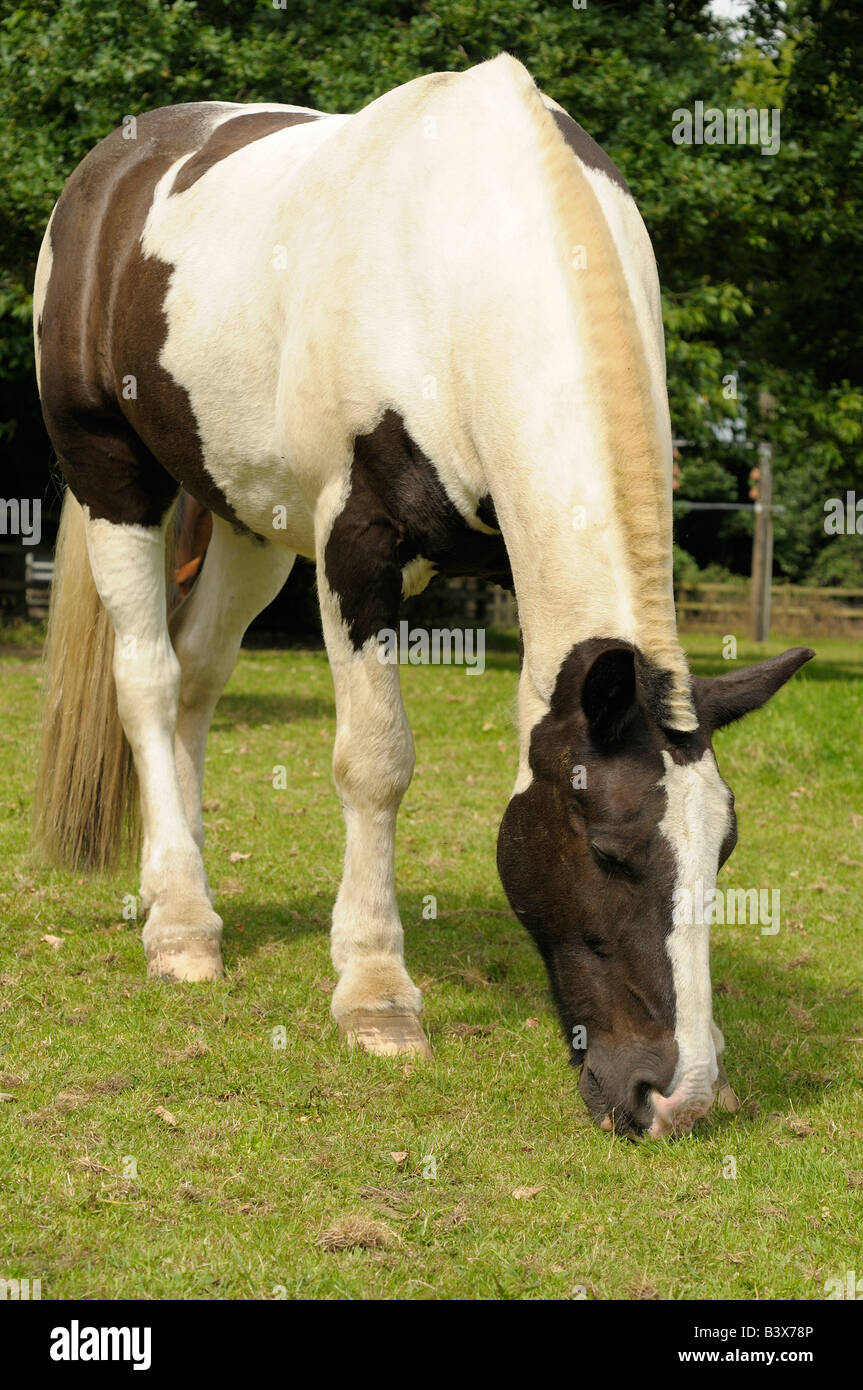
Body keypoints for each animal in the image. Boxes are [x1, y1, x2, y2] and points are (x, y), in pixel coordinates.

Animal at [32, 54, 812, 1139]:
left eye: (722, 851)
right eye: (606, 850)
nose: (675, 1094)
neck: (463, 265)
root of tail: (112, 166)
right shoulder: (353, 552)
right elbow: (375, 764)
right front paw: (375, 992)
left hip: (246, 520)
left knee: (195, 681)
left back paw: (179, 885)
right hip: (114, 478)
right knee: (145, 681)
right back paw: (182, 926)